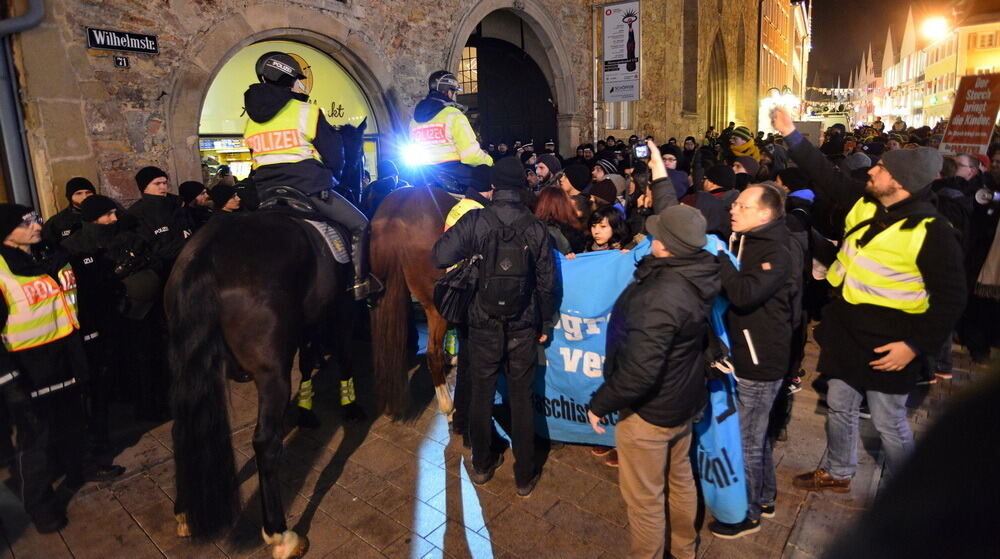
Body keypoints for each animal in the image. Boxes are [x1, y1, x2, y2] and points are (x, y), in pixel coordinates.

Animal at [164, 123, 368, 559]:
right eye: (358, 152)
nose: (362, 178)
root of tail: (205, 256)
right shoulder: (341, 309)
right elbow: (343, 353)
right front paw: (350, 402)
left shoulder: (308, 321)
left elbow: (309, 361)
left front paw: (307, 409)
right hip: (270, 370)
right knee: (264, 442)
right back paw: (279, 533)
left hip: (189, 365)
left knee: (183, 430)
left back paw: (186, 512)